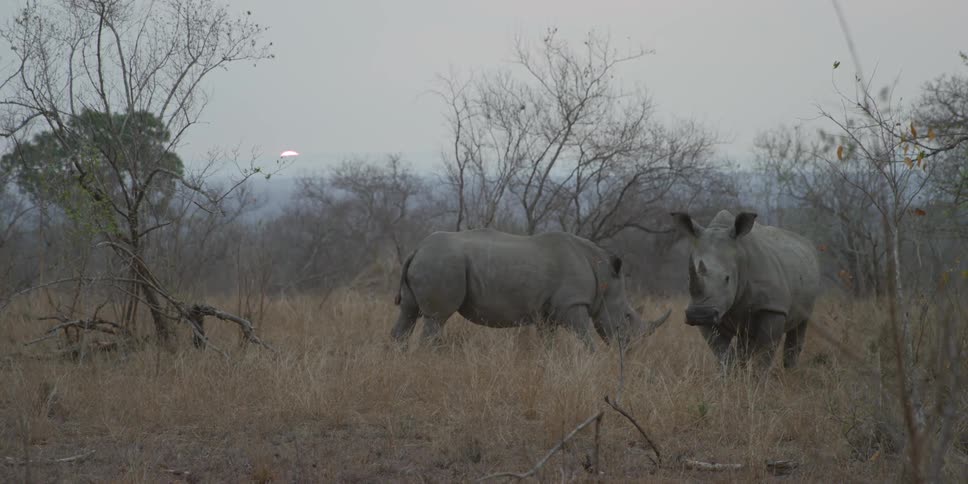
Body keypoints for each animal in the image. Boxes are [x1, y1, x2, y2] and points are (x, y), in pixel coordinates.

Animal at [391, 228, 671, 350]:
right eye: (627, 317)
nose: (631, 351)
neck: (603, 275)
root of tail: (417, 249)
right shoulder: (573, 304)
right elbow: (585, 336)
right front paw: (595, 362)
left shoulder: (548, 312)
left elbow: (548, 341)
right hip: (442, 263)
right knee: (436, 319)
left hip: (431, 262)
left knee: (408, 313)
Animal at [671, 210, 820, 370]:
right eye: (688, 278)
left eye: (727, 278)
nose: (700, 314)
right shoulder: (708, 311)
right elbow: (721, 351)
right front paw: (730, 375)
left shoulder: (773, 307)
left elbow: (765, 350)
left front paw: (757, 377)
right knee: (745, 340)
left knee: (800, 326)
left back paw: (790, 371)